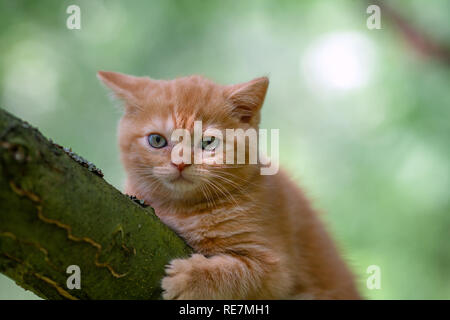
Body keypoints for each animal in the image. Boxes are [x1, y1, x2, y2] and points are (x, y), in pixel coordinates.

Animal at [97, 70, 358, 300]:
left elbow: (242, 275)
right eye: (157, 140)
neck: (182, 210)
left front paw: (192, 278)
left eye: (208, 142)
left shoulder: (277, 269)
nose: (180, 163)